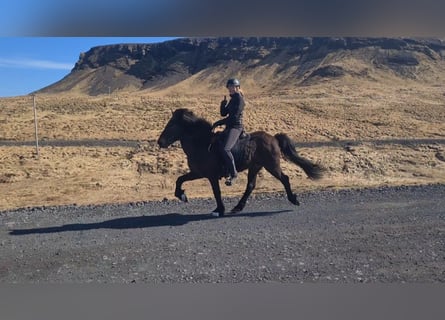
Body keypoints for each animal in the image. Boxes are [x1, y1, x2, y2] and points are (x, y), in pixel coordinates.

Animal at [157, 108, 322, 218]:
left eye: (171, 124)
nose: (160, 142)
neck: (202, 143)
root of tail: (274, 138)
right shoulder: (198, 173)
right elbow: (180, 180)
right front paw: (182, 195)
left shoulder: (211, 175)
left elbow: (216, 192)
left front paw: (219, 210)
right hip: (255, 166)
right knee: (250, 186)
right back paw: (237, 207)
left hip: (272, 166)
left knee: (284, 179)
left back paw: (294, 199)